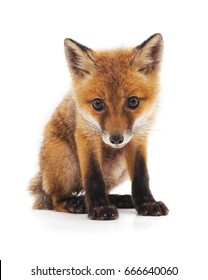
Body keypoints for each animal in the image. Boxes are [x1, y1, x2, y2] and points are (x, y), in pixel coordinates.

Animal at [28, 32, 169, 220]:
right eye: (97, 104)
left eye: (133, 102)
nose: (116, 139)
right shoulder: (86, 135)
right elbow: (93, 177)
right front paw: (99, 207)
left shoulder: (139, 136)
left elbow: (141, 176)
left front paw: (146, 203)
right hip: (64, 160)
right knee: (56, 200)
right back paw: (76, 203)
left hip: (120, 169)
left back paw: (119, 200)